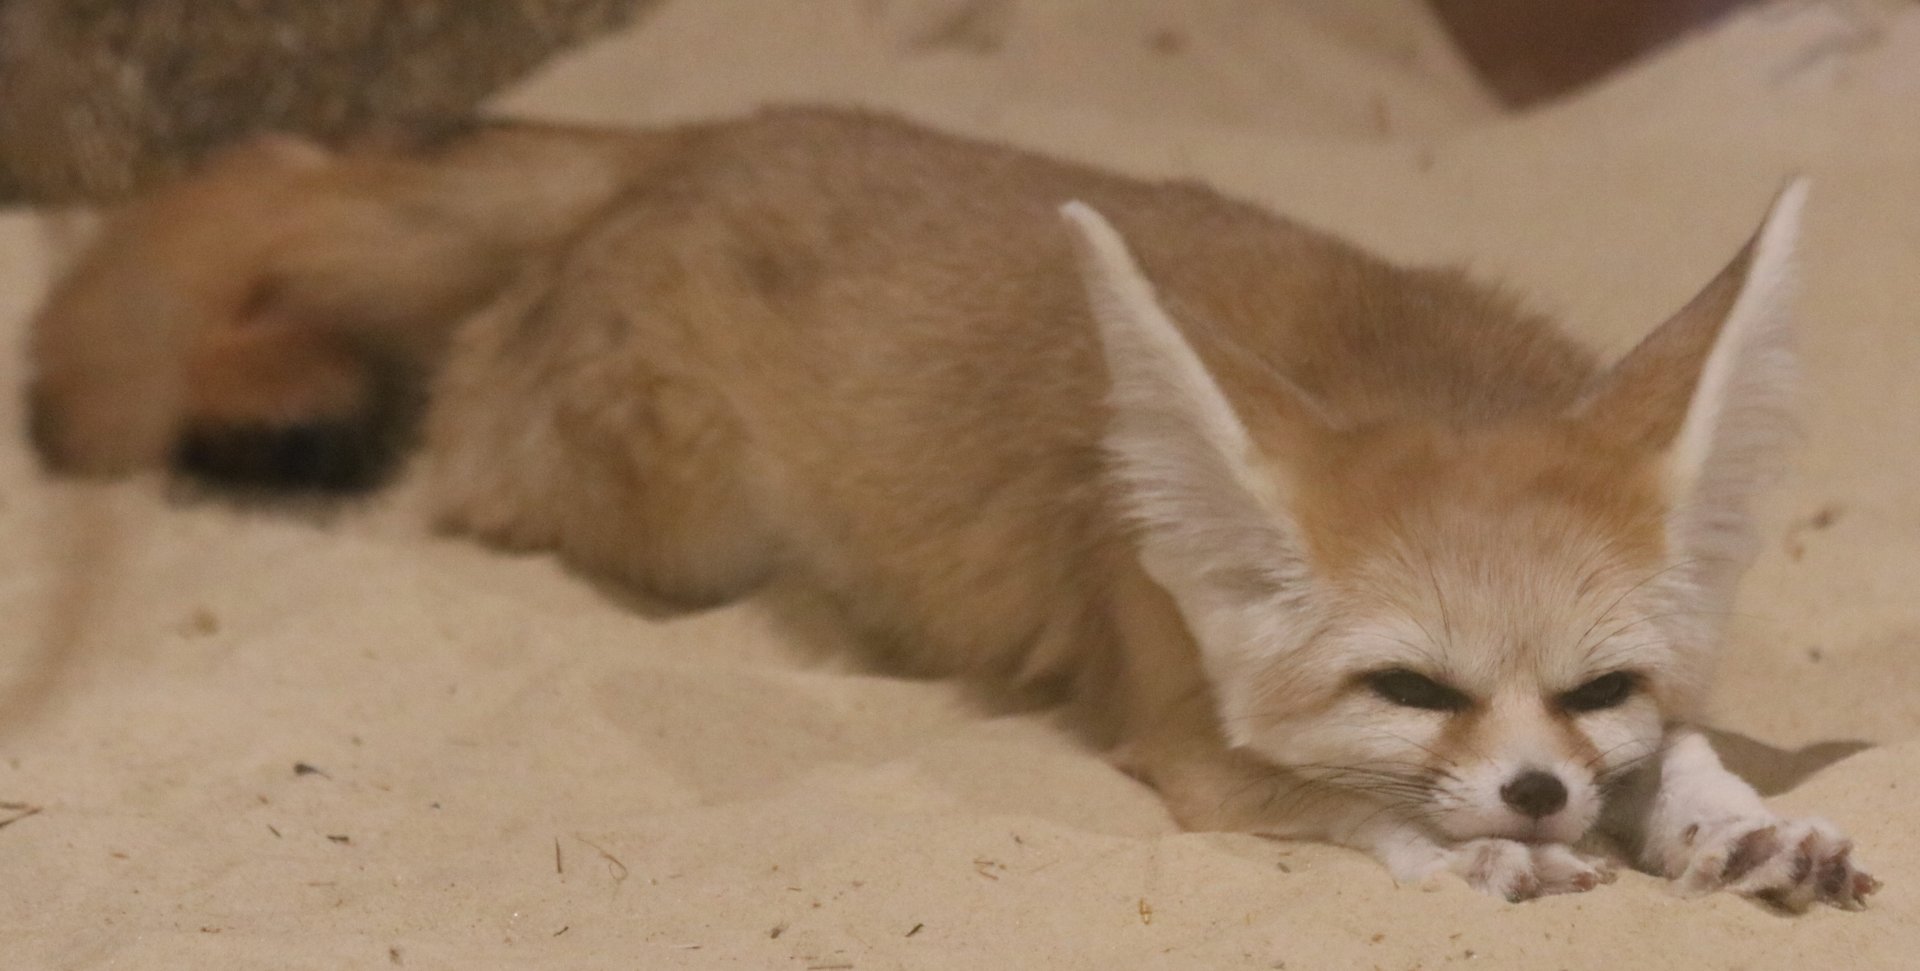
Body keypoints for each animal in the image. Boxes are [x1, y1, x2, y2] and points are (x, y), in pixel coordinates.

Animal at [24, 107, 1878, 908]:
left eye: (1594, 687)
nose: (1540, 789)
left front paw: (1728, 819)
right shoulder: (1181, 734)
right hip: (658, 511)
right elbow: (1327, 804)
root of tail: (687, 130)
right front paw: (1478, 847)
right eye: (1406, 687)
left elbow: (1689, 749)